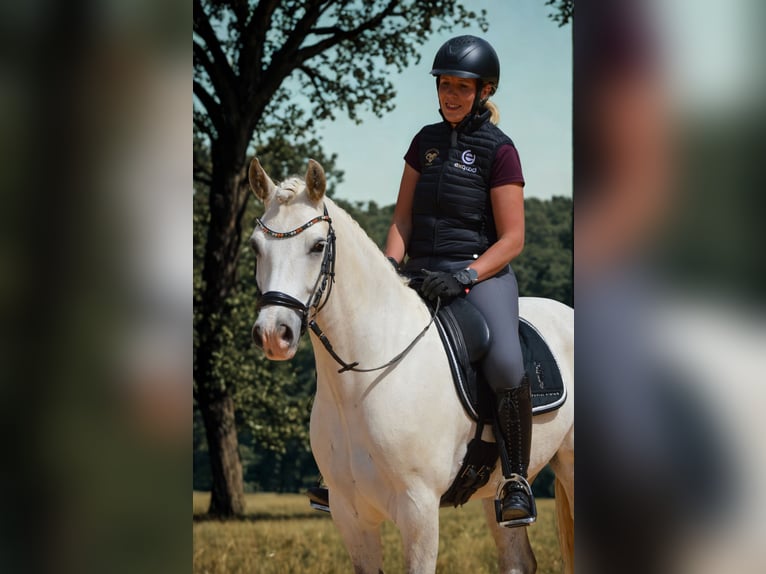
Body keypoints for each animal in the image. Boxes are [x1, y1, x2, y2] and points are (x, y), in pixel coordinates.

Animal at [248, 157, 574, 574]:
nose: (274, 334)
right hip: (493, 491)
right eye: (256, 247)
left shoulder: (419, 511)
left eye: (317, 246)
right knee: (518, 560)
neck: (365, 379)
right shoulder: (350, 515)